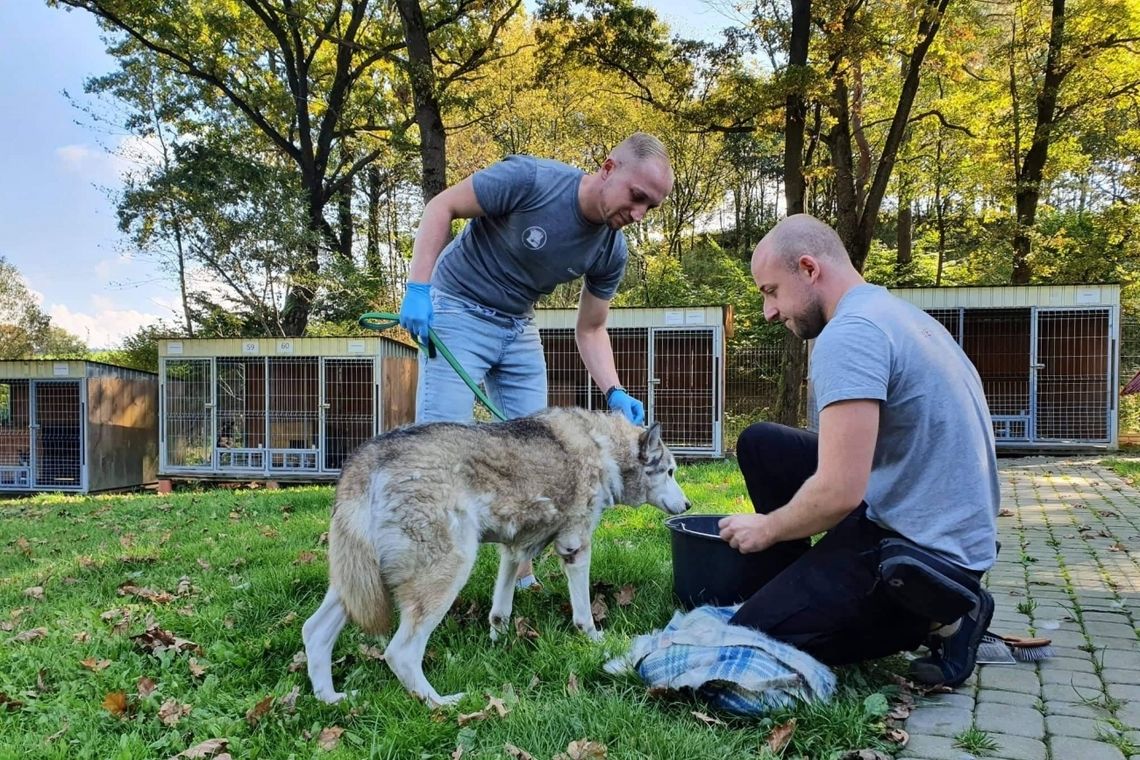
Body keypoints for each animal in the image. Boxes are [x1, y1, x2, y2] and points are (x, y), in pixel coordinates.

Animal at [303, 407, 688, 711]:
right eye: (670, 472)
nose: (688, 505)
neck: (603, 448)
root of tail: (369, 455)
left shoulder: (514, 550)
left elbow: (500, 608)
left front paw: (498, 640)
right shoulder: (574, 547)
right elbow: (583, 614)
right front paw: (595, 640)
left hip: (355, 586)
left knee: (314, 632)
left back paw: (330, 698)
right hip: (449, 571)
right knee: (400, 653)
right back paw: (440, 703)